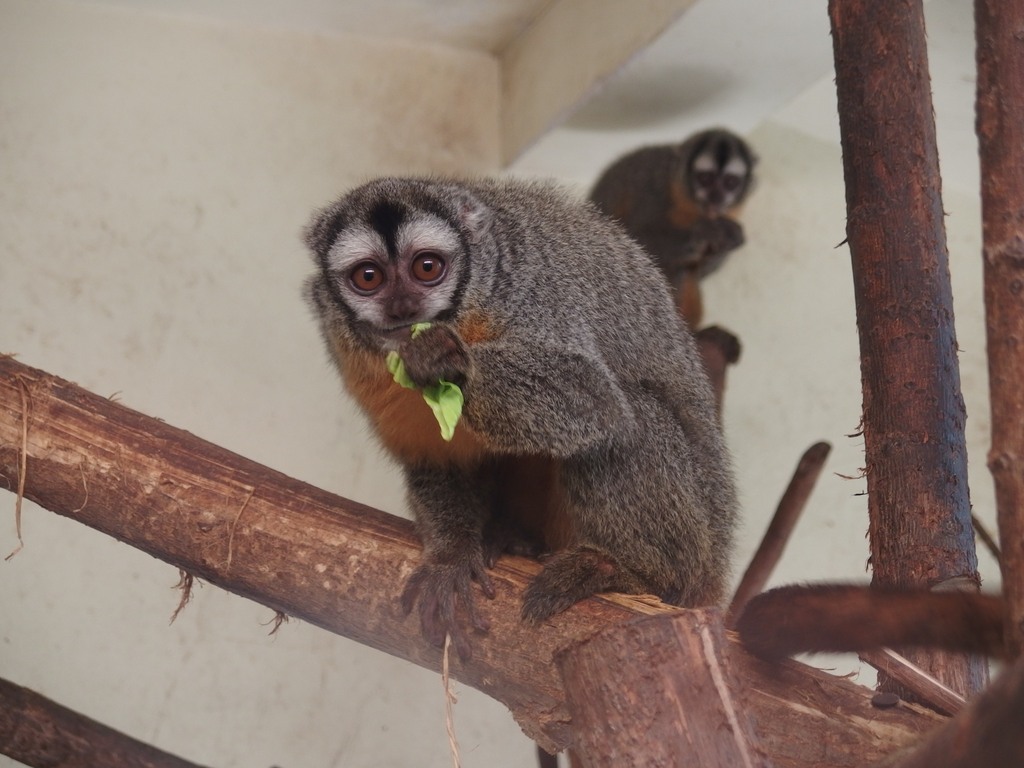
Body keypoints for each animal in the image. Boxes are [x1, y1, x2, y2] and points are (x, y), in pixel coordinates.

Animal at [303, 176, 738, 659]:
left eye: (427, 268)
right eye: (369, 277)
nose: (403, 308)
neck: (465, 311)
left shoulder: (529, 294)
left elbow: (591, 397)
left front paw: (450, 364)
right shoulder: (348, 352)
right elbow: (437, 461)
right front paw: (452, 557)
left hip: (696, 549)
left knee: (626, 419)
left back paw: (629, 572)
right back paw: (511, 538)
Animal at [589, 128, 756, 327]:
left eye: (730, 182)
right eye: (705, 178)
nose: (716, 198)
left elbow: (700, 272)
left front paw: (721, 244)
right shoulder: (653, 188)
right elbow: (637, 236)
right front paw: (703, 233)